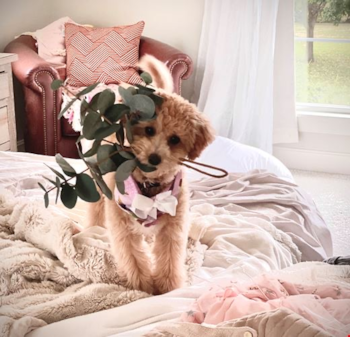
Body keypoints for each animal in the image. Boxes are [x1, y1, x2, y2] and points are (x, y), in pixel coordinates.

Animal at [87, 55, 213, 294]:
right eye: (149, 130)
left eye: (175, 139)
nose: (154, 158)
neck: (149, 187)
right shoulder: (123, 228)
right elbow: (133, 259)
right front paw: (142, 288)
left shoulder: (173, 227)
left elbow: (170, 258)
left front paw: (167, 288)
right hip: (99, 183)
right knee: (95, 208)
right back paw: (93, 227)